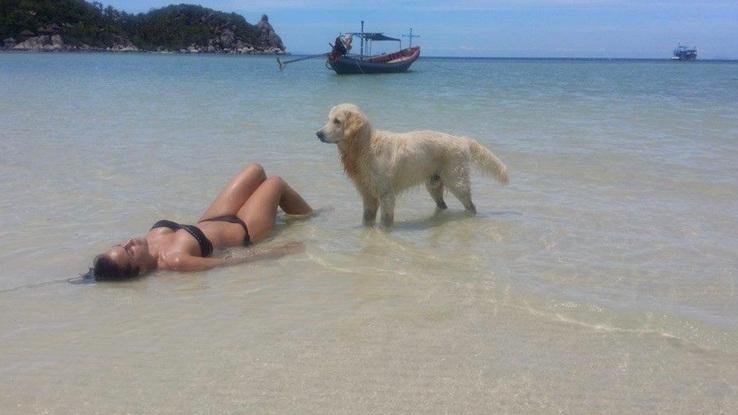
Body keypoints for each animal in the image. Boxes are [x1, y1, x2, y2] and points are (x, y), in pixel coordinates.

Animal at [316, 103, 506, 228]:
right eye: (328, 119)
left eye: (337, 121)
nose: (318, 133)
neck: (364, 146)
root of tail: (461, 139)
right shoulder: (368, 195)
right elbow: (367, 220)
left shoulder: (386, 194)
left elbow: (385, 222)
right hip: (433, 184)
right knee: (442, 205)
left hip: (457, 181)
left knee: (470, 206)